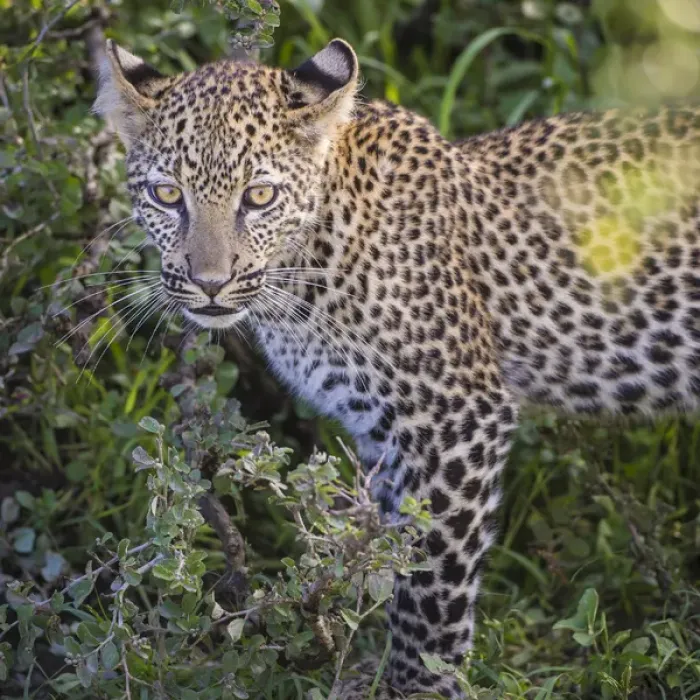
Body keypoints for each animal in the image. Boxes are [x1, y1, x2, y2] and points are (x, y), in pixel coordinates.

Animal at [94, 37, 700, 698]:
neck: (307, 272)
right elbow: (385, 549)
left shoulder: (456, 417)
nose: (209, 284)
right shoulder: (380, 429)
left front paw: (418, 680)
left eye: (258, 197)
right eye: (167, 195)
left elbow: (431, 574)